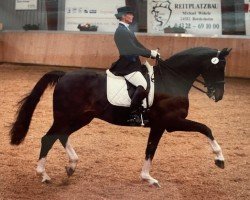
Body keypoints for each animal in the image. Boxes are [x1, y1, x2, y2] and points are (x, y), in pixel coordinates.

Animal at [10, 46, 231, 186]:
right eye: (219, 67)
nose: (219, 96)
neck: (171, 81)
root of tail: (64, 75)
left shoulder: (161, 125)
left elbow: (151, 149)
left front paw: (146, 177)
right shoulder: (170, 122)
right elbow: (204, 128)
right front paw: (219, 159)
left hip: (81, 118)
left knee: (61, 135)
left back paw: (72, 165)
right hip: (65, 116)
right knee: (48, 138)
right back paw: (44, 176)